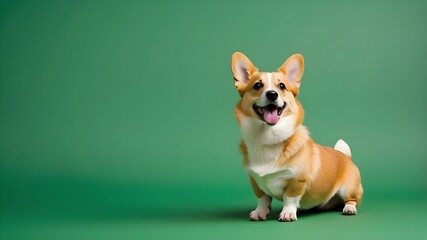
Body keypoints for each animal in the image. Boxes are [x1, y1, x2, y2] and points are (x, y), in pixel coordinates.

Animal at [232, 52, 362, 221]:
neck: (267, 138)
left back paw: (349, 208)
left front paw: (287, 213)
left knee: (351, 199)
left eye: (281, 86)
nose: (272, 94)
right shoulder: (255, 180)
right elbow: (263, 198)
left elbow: (290, 197)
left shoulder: (297, 180)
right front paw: (260, 212)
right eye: (257, 86)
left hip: (349, 188)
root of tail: (346, 156)